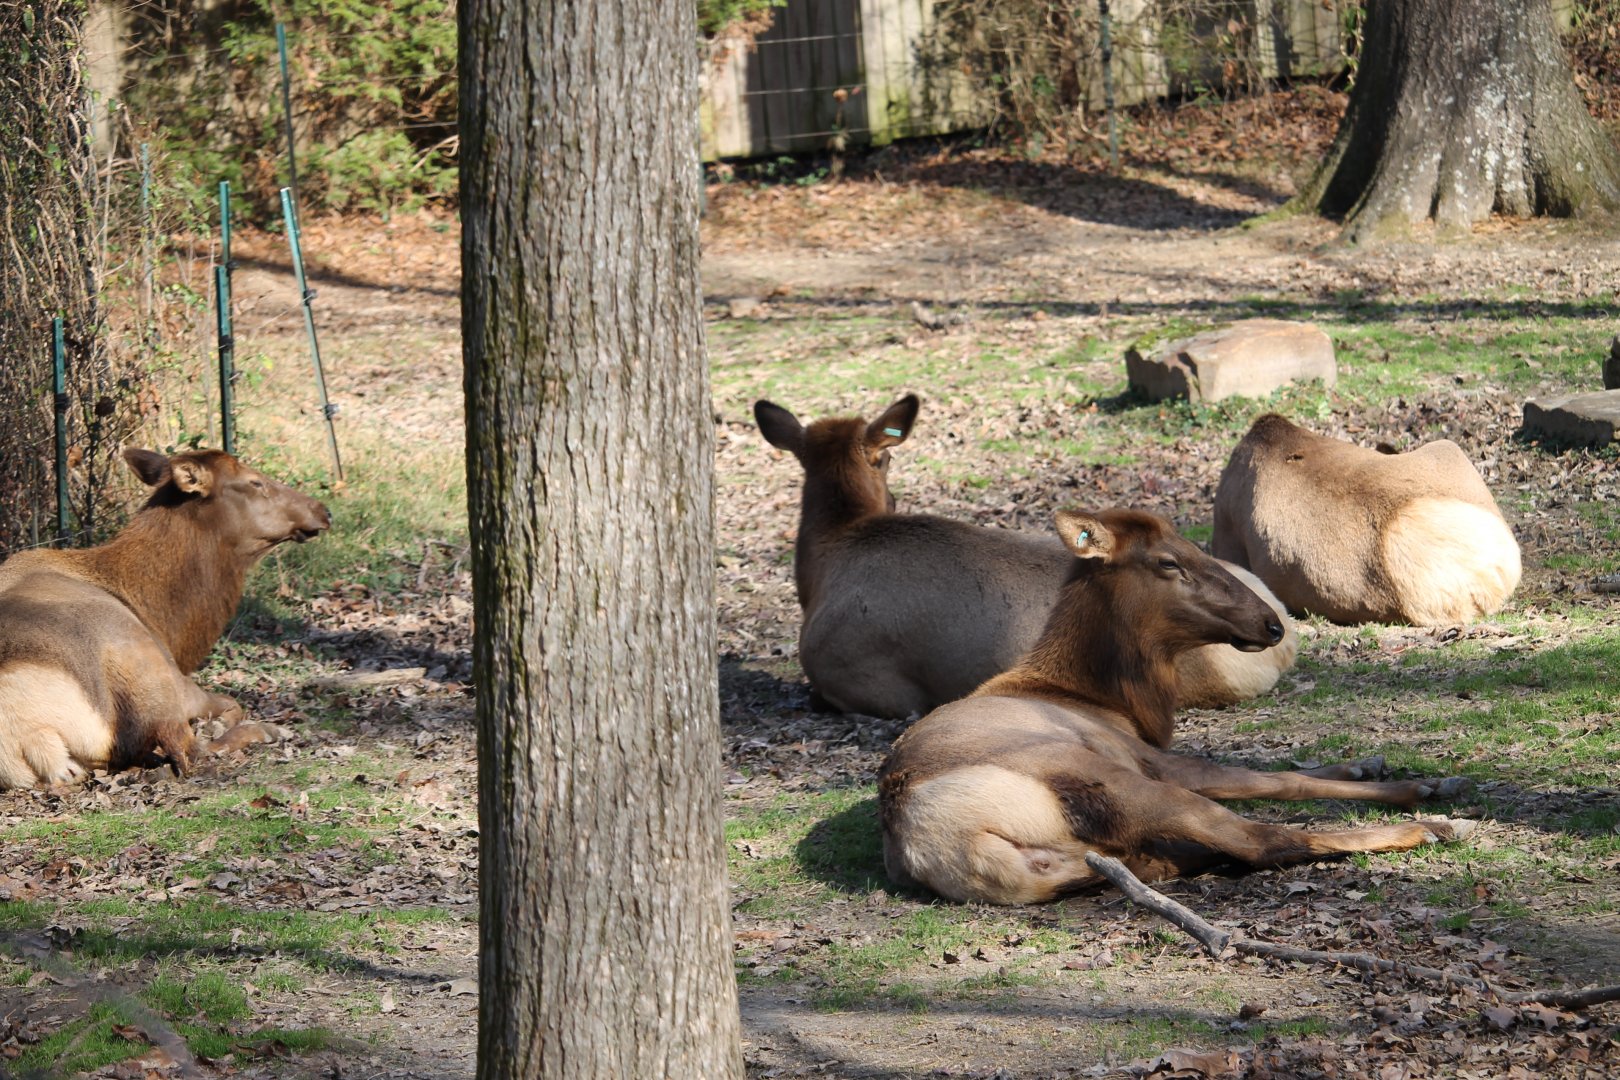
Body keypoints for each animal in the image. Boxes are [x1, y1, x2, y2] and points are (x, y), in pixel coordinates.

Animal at [0, 447, 331, 790]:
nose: (323, 511)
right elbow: (233, 704)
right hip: (148, 671)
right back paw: (262, 731)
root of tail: (31, 737)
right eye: (255, 481)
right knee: (191, 752)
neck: (163, 618)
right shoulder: (176, 675)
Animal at [878, 507, 1475, 904]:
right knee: (1263, 839)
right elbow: (1272, 779)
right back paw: (1432, 826)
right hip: (1106, 780)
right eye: (1169, 562)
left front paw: (1368, 763)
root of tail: (943, 841)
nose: (1272, 623)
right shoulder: (1151, 757)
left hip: (1098, 848)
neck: (1109, 698)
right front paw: (1420, 784)